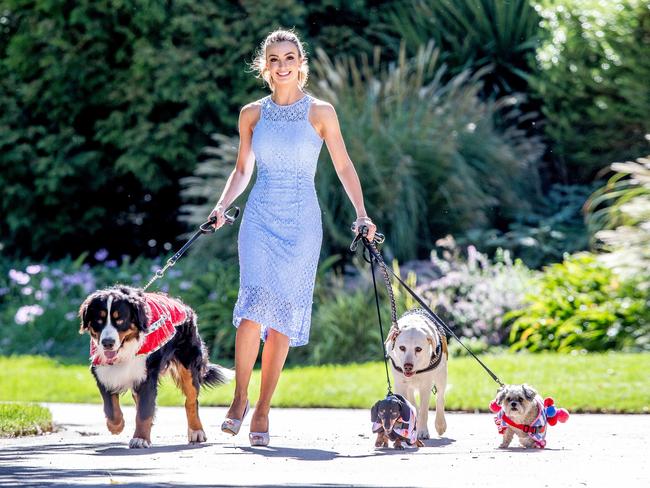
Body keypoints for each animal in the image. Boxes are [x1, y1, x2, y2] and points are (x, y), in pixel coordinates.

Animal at [78, 284, 233, 448]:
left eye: (120, 320)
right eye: (99, 320)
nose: (107, 343)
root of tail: (182, 305)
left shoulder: (147, 376)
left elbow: (144, 411)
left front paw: (140, 438)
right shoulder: (103, 372)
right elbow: (112, 409)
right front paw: (117, 426)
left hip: (188, 367)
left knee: (191, 401)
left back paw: (196, 431)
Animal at [384, 310, 446, 440]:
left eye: (418, 349)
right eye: (402, 348)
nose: (408, 366)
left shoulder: (425, 386)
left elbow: (424, 410)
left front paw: (422, 431)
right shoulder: (400, 384)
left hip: (442, 375)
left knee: (440, 398)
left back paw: (440, 424)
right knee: (412, 399)